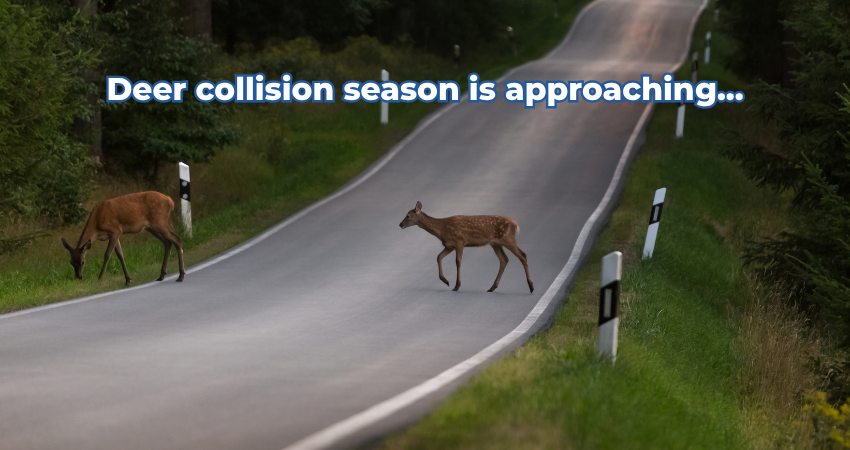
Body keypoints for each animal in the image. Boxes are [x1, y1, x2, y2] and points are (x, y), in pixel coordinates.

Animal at [399, 201, 533, 293]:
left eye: (407, 216)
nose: (400, 224)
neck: (442, 229)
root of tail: (515, 223)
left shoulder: (459, 241)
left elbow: (458, 262)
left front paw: (457, 285)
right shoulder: (449, 245)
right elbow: (438, 257)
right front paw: (446, 281)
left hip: (508, 238)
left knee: (523, 255)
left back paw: (531, 287)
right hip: (495, 243)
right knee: (504, 259)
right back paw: (492, 287)